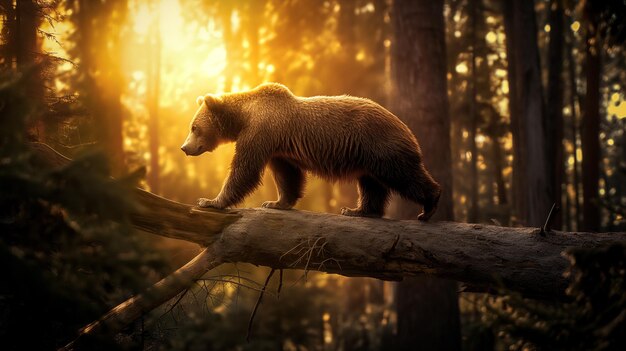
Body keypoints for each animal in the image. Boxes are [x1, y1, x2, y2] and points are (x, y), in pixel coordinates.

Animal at [182, 83, 438, 220]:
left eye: (194, 127)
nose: (184, 147)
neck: (245, 116)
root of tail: (405, 127)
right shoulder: (278, 147)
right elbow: (287, 175)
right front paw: (276, 202)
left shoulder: (261, 131)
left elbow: (245, 169)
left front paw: (210, 200)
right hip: (367, 158)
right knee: (371, 185)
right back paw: (357, 210)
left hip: (380, 145)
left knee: (404, 175)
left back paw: (429, 206)